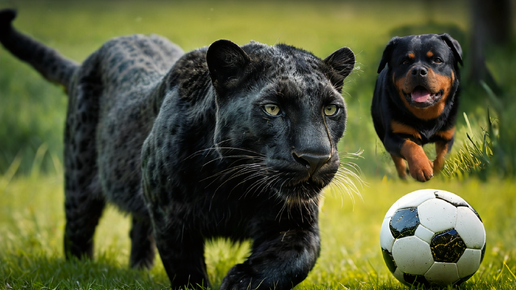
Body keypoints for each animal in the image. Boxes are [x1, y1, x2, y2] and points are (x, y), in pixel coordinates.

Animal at [372, 32, 462, 180]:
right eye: (405, 62)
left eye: (437, 60)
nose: (419, 70)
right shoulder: (391, 137)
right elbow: (410, 145)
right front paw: (422, 167)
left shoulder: (447, 137)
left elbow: (442, 158)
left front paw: (437, 173)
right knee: (399, 162)